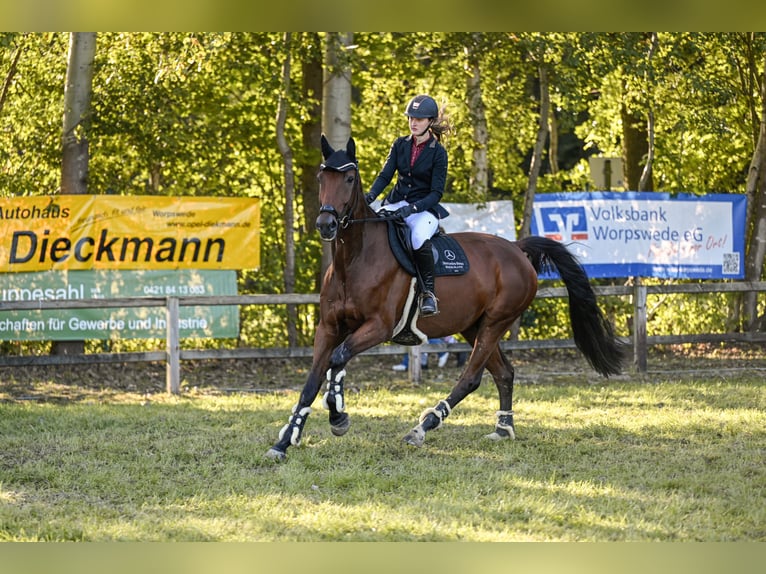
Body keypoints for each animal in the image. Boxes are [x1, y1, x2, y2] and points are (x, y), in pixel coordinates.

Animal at [268, 136, 628, 464]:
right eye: (321, 178)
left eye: (349, 179)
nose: (326, 224)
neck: (354, 259)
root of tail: (516, 249)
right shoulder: (329, 328)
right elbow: (313, 380)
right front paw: (285, 441)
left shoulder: (378, 327)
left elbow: (338, 359)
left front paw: (338, 417)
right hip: (473, 326)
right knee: (504, 373)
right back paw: (502, 430)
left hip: (495, 322)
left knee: (471, 378)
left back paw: (422, 428)